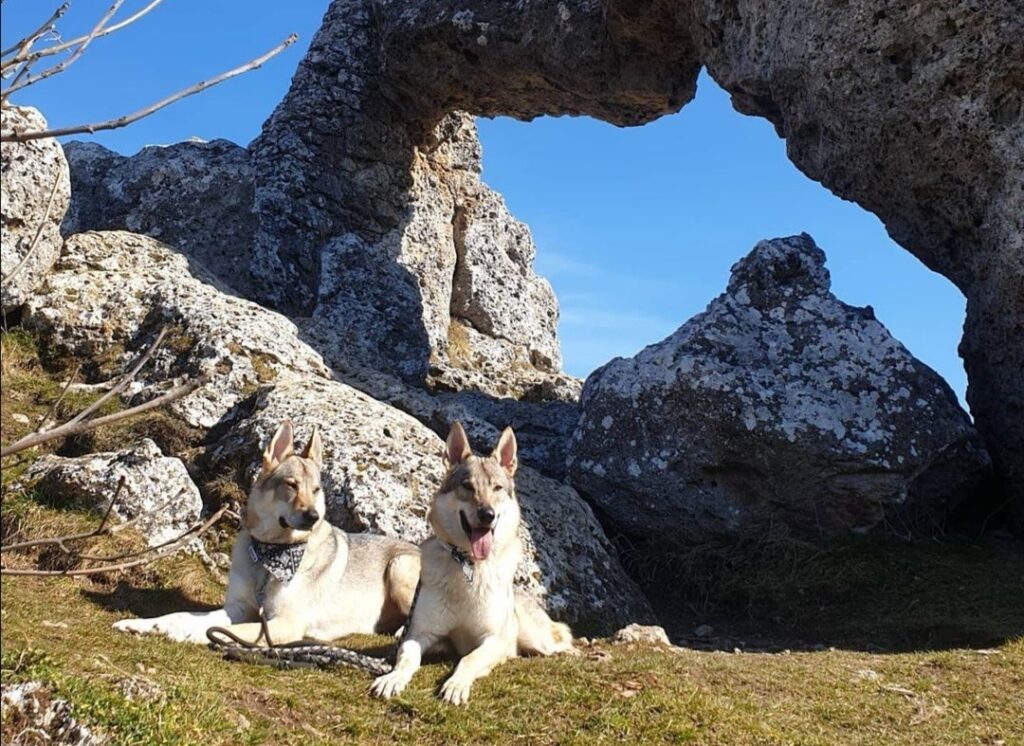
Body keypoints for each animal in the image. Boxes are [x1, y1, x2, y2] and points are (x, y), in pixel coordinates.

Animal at [370, 421, 577, 699]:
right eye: (468, 487)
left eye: (497, 488)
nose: (487, 514)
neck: (469, 565)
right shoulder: (422, 633)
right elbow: (406, 657)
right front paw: (392, 678)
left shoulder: (492, 639)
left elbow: (468, 659)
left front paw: (456, 685)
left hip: (536, 639)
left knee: (559, 639)